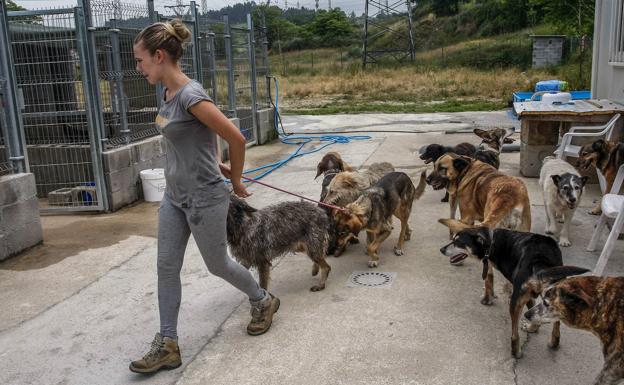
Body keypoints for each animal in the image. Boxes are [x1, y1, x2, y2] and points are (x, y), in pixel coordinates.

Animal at [428, 153, 532, 304]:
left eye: (442, 168)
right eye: (434, 165)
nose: (427, 180)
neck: (465, 170)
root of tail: (508, 198)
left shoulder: (466, 219)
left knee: (488, 274)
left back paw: (487, 297)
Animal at [436, 219, 588, 356]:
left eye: (457, 242)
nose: (441, 249)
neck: (491, 241)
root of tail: (540, 261)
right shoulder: (529, 295)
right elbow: (534, 311)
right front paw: (534, 327)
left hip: (515, 302)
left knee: (515, 335)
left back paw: (516, 352)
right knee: (557, 324)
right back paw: (553, 342)